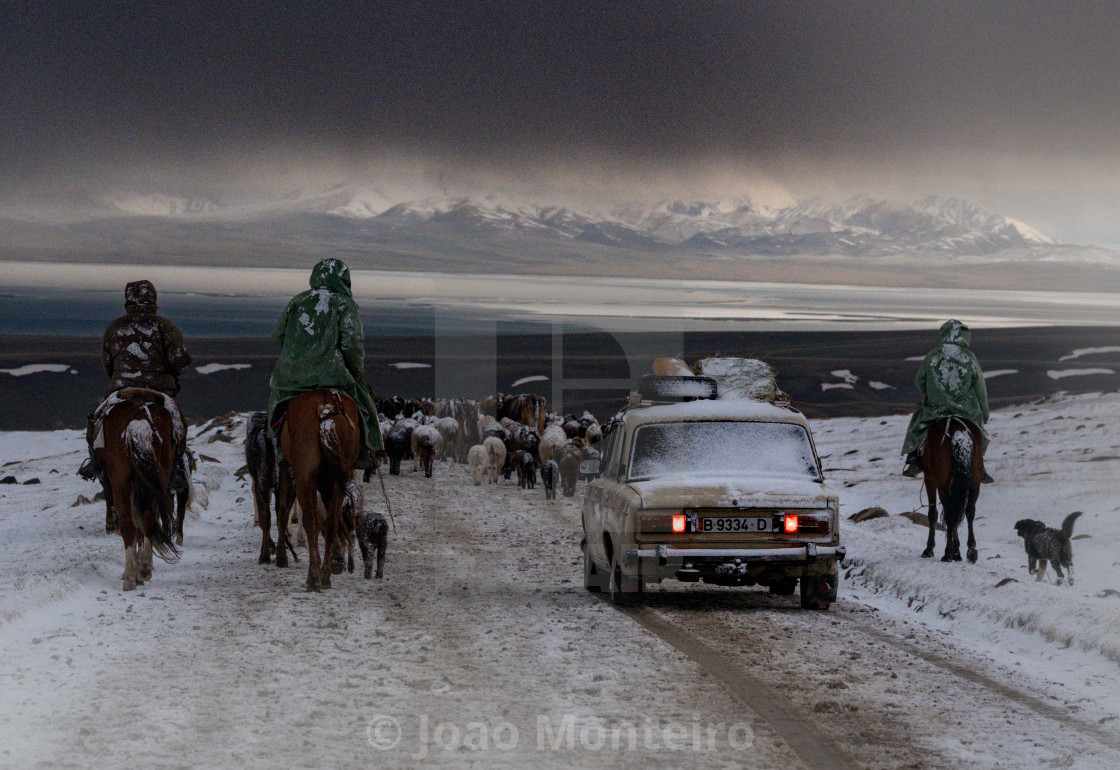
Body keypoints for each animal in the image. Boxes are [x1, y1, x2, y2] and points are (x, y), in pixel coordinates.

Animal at [95, 387, 182, 590]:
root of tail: (140, 422)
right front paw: (142, 566)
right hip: (158, 477)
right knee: (149, 518)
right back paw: (144, 569)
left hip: (121, 480)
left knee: (129, 523)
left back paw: (130, 576)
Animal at [275, 391, 358, 590]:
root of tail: (326, 407)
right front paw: (337, 557)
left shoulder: (289, 470)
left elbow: (284, 511)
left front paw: (281, 556)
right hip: (337, 474)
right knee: (331, 520)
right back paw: (326, 574)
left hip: (304, 474)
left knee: (309, 520)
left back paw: (313, 577)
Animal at [918, 418, 981, 561]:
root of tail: (959, 434)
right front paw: (957, 552)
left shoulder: (930, 479)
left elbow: (933, 513)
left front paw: (929, 549)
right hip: (975, 482)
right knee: (969, 511)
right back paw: (971, 550)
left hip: (942, 482)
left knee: (949, 513)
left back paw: (947, 554)